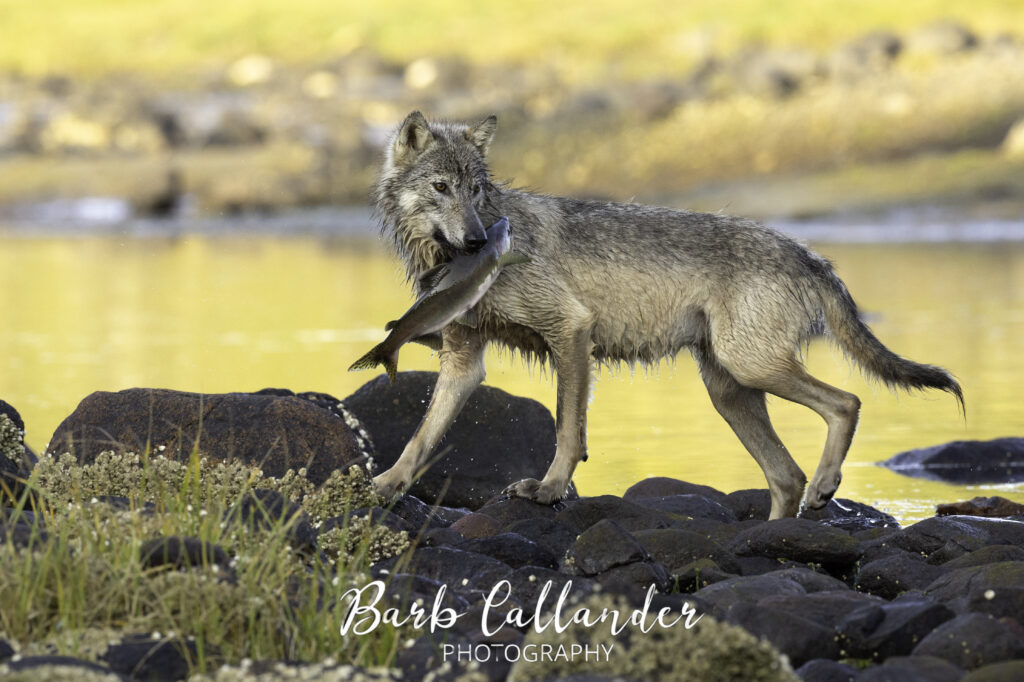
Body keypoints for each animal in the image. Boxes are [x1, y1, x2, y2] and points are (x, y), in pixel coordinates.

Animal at [371, 110, 963, 519]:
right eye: (441, 188)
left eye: (475, 190)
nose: (477, 240)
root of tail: (808, 253)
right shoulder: (464, 362)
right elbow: (421, 436)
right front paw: (386, 484)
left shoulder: (571, 331)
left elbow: (567, 432)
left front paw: (549, 490)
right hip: (730, 391)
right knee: (785, 476)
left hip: (750, 368)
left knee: (846, 404)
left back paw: (825, 487)